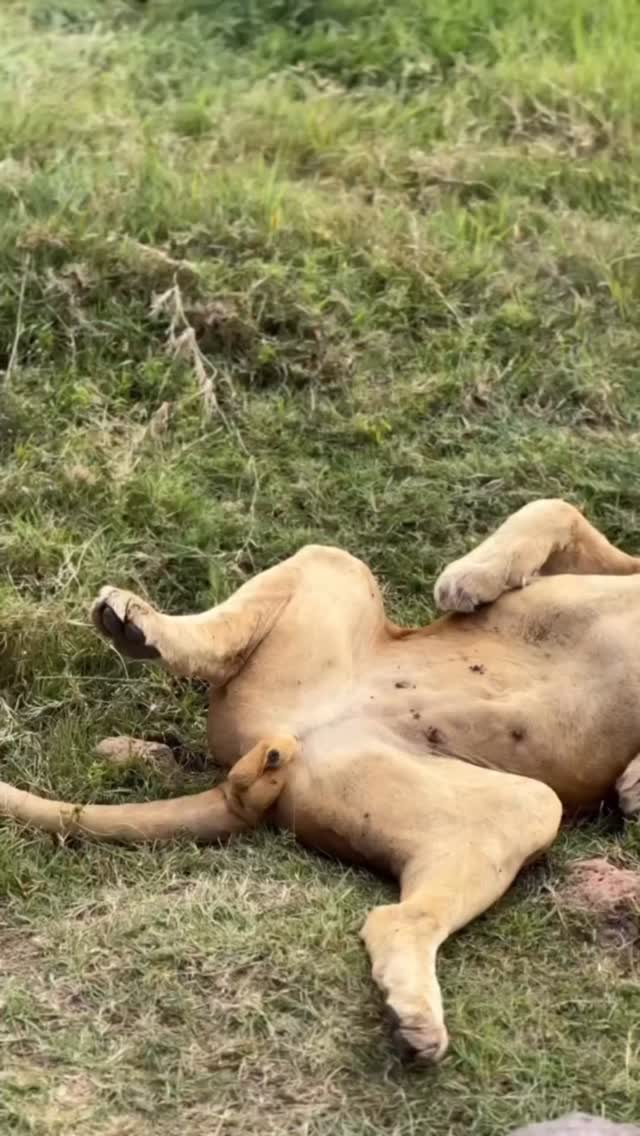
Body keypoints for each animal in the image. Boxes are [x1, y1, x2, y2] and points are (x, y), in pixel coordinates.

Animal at [3, 499, 640, 1063]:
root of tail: (299, 737)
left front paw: (634, 785)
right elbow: (558, 507)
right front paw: (469, 580)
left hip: (515, 804)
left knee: (394, 917)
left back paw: (412, 1021)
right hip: (335, 576)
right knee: (230, 627)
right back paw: (137, 624)